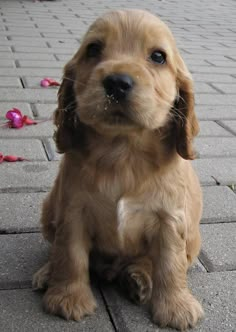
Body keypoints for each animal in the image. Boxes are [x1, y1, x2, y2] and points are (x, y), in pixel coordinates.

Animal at [32, 9, 203, 330]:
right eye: (93, 49)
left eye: (158, 56)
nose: (117, 82)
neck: (123, 152)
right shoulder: (72, 209)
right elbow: (69, 254)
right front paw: (68, 298)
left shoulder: (170, 218)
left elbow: (170, 263)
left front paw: (176, 307)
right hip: (49, 207)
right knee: (55, 248)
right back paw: (48, 274)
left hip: (194, 240)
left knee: (152, 262)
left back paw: (138, 278)